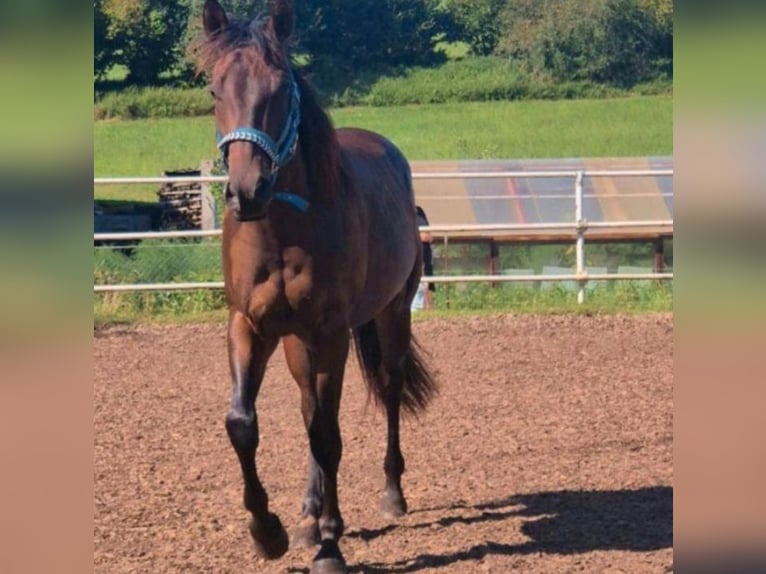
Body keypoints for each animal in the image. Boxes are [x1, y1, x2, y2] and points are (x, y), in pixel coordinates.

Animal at [194, 1, 437, 572]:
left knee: (387, 388)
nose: (247, 190)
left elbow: (328, 435)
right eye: (215, 90)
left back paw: (390, 494)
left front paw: (331, 544)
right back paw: (307, 514)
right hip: (295, 341)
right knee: (310, 407)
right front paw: (269, 532)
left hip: (392, 313)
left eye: (281, 88)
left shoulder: (329, 332)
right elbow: (244, 423)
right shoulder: (249, 325)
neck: (283, 228)